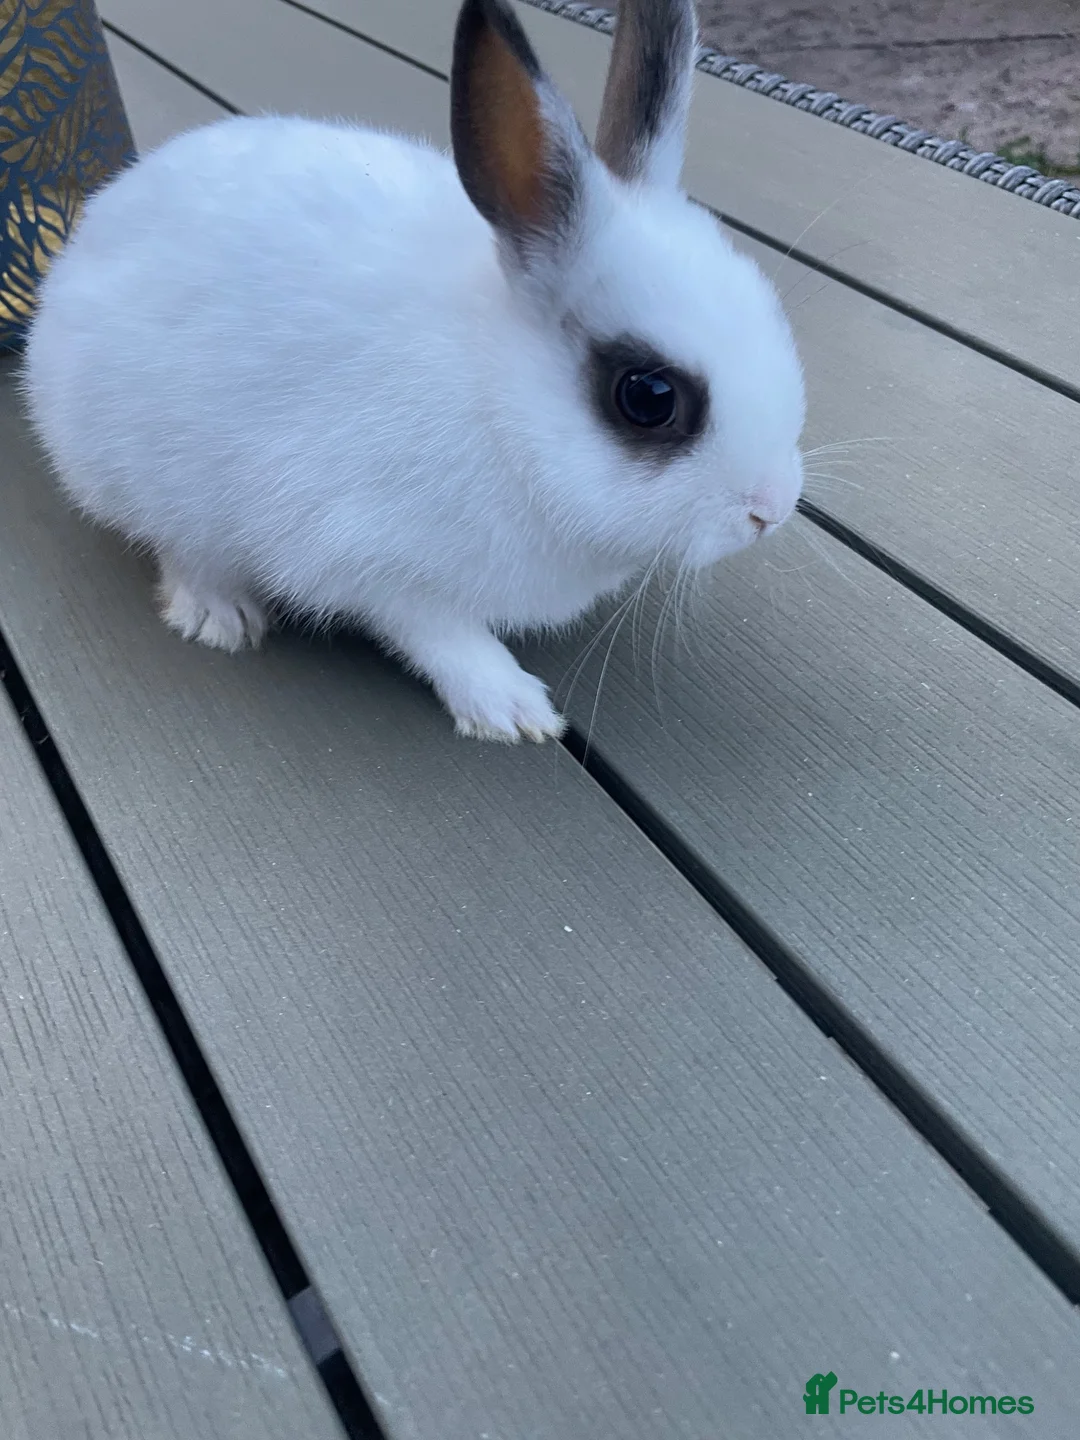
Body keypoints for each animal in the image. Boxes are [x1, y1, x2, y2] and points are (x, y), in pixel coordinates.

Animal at [22, 0, 805, 743]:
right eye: (648, 397)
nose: (770, 512)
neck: (500, 407)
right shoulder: (371, 556)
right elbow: (440, 634)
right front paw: (512, 710)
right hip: (146, 471)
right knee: (179, 544)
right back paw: (220, 615)